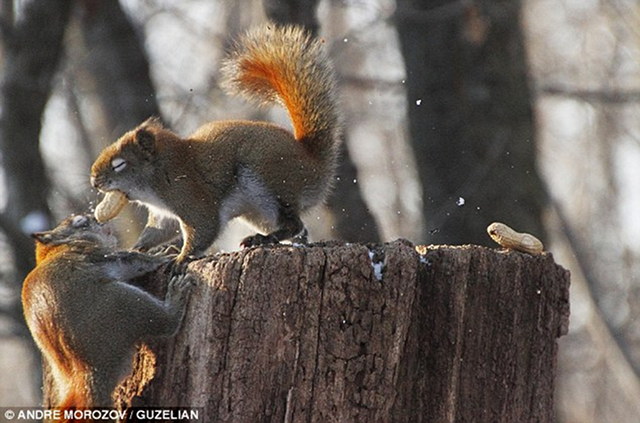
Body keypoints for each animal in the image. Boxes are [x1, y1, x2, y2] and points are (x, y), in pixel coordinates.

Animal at [21, 214, 193, 411]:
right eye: (82, 223)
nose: (97, 218)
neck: (58, 247)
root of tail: (89, 372)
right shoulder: (100, 256)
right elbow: (136, 260)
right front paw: (161, 255)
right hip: (125, 303)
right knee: (167, 324)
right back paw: (177, 295)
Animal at [90, 24, 341, 262]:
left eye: (119, 164)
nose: (94, 182)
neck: (161, 171)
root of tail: (315, 163)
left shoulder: (191, 196)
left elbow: (203, 227)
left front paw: (180, 258)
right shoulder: (163, 216)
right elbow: (156, 233)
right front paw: (135, 249)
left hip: (270, 183)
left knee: (294, 224)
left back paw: (263, 239)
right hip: (256, 212)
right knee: (301, 231)